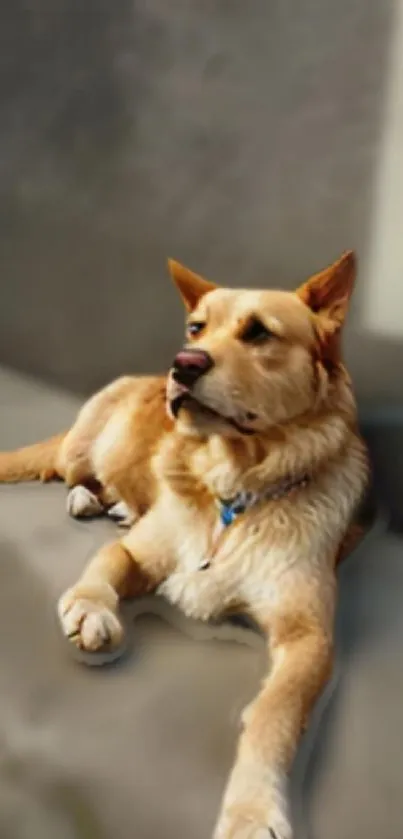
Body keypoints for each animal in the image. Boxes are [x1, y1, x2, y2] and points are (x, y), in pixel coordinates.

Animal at [0, 254, 370, 839]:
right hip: (83, 445)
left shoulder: (310, 639)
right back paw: (90, 497)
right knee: (73, 473)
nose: (183, 363)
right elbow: (103, 564)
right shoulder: (136, 552)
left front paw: (252, 810)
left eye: (259, 332)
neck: (237, 487)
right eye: (196, 327)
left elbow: (274, 716)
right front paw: (90, 608)